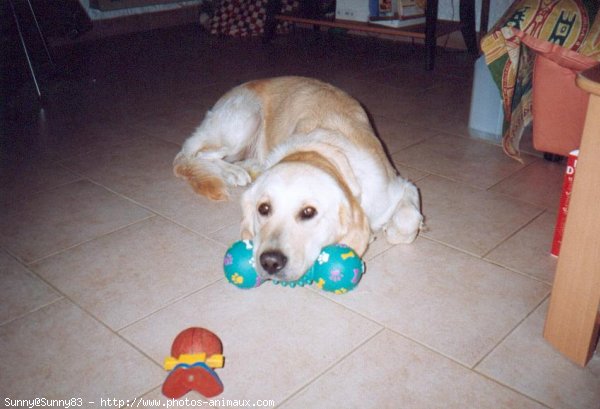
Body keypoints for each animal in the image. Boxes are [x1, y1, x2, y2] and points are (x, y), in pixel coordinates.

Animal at [175, 75, 422, 280]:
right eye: (264, 209)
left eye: (308, 212)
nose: (270, 262)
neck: (320, 151)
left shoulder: (400, 187)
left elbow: (408, 220)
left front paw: (391, 229)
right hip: (244, 120)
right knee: (193, 156)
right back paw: (231, 172)